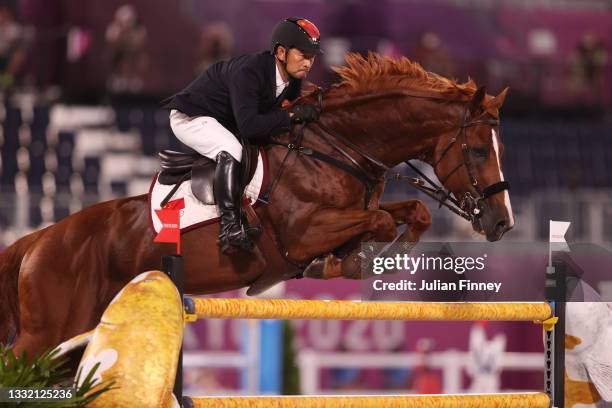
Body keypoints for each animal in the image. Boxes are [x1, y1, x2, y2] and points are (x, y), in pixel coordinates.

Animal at [0, 51, 512, 360]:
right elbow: (381, 221)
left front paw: (356, 259)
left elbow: (408, 214)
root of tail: (37, 241)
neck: (337, 147)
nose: (502, 224)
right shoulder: (303, 233)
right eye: (478, 151)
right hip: (47, 330)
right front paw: (348, 261)